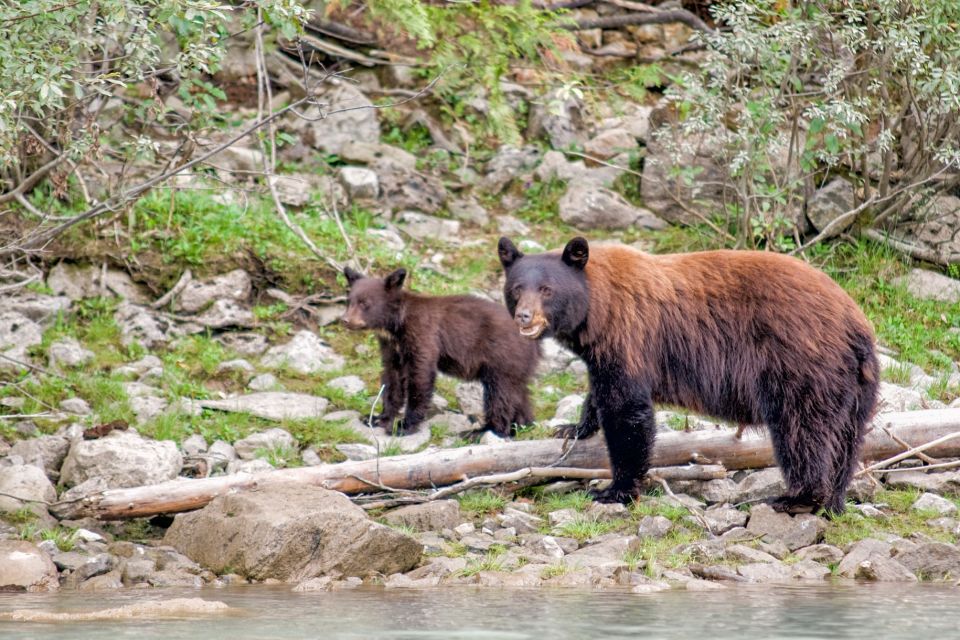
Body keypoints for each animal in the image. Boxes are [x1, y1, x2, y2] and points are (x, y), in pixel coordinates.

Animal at [498, 236, 880, 516]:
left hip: (801, 365)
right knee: (846, 441)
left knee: (802, 432)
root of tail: (855, 326)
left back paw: (797, 498)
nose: (524, 317)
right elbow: (601, 391)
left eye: (547, 289)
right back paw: (834, 501)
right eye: (516, 288)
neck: (598, 307)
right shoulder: (605, 353)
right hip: (854, 386)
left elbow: (626, 411)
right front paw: (574, 427)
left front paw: (616, 489)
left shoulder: (630, 337)